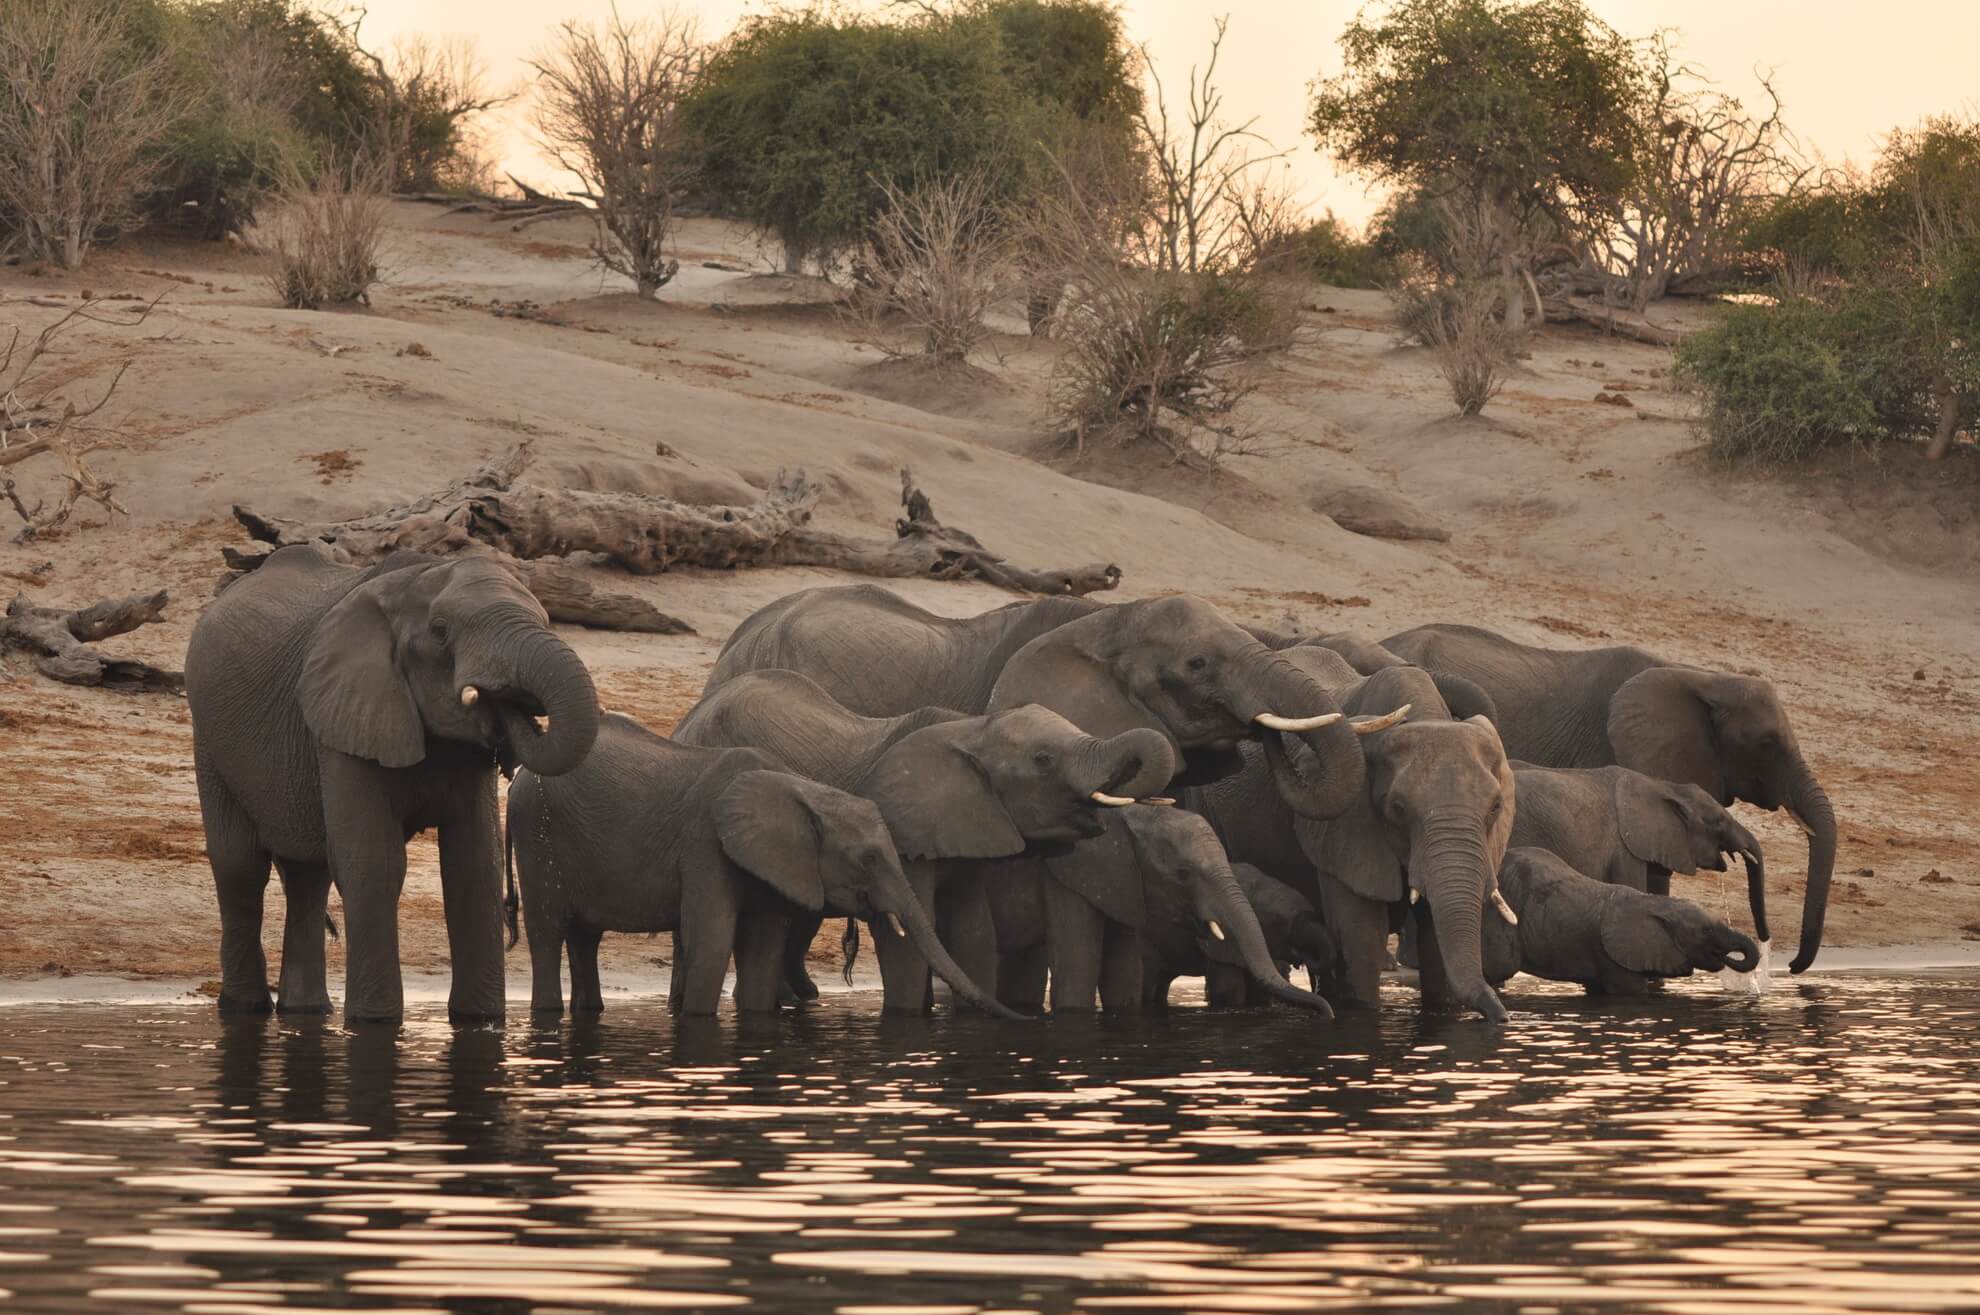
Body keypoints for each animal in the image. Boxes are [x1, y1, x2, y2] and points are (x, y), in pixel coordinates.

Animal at [185, 545, 601, 1024]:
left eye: (547, 620)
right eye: (441, 631)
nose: (507, 708)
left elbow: (475, 865)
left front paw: (479, 1020)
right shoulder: (344, 714)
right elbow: (373, 863)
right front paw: (375, 1022)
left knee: (308, 877)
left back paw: (306, 1011)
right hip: (211, 740)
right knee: (240, 867)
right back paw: (245, 1009)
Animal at [505, 713, 1021, 1019]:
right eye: (869, 858)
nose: (1020, 1017)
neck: (801, 789)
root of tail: (518, 781)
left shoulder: (776, 862)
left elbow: (762, 946)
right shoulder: (704, 844)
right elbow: (712, 940)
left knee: (583, 938)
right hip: (538, 835)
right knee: (548, 933)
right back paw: (547, 1015)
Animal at [1190, 656, 1518, 1023]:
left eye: (1495, 807)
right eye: (1398, 808)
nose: (1503, 1017)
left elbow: (1435, 935)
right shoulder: (1344, 828)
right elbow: (1361, 936)